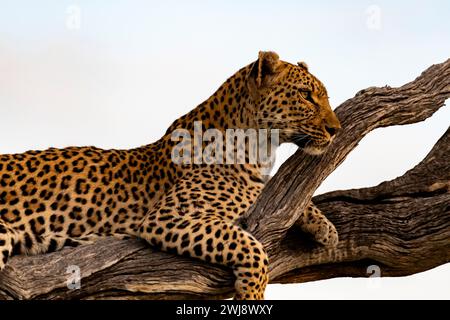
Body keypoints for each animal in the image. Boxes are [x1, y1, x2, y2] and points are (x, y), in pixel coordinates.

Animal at [0, 50, 340, 300]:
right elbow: (252, 245)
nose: (335, 130)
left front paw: (325, 228)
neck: (260, 146)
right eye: (306, 95)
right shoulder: (166, 216)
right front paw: (252, 294)